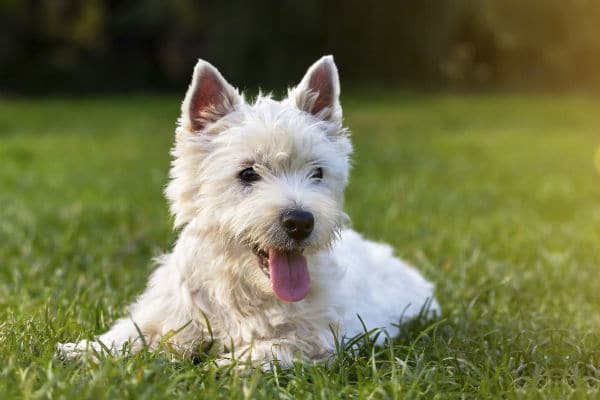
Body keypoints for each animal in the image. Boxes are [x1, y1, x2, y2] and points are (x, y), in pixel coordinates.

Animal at [57, 54, 440, 368]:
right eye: (247, 173)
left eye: (317, 172)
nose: (300, 222)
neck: (244, 287)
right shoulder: (170, 315)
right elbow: (129, 334)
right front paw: (76, 351)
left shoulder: (315, 340)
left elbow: (259, 352)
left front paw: (213, 368)